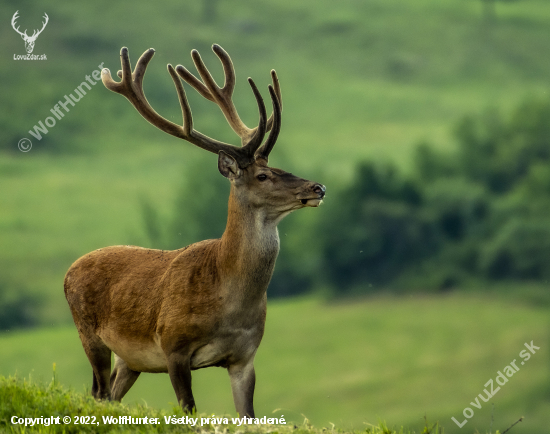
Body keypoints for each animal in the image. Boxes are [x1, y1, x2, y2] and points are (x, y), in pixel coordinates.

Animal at [63, 45, 328, 418]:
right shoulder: (173, 346)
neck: (227, 300)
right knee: (98, 393)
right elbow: (187, 407)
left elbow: (247, 414)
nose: (317, 187)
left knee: (111, 394)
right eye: (263, 176)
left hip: (129, 359)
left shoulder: (245, 356)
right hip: (89, 333)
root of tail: (69, 270)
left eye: (279, 167)